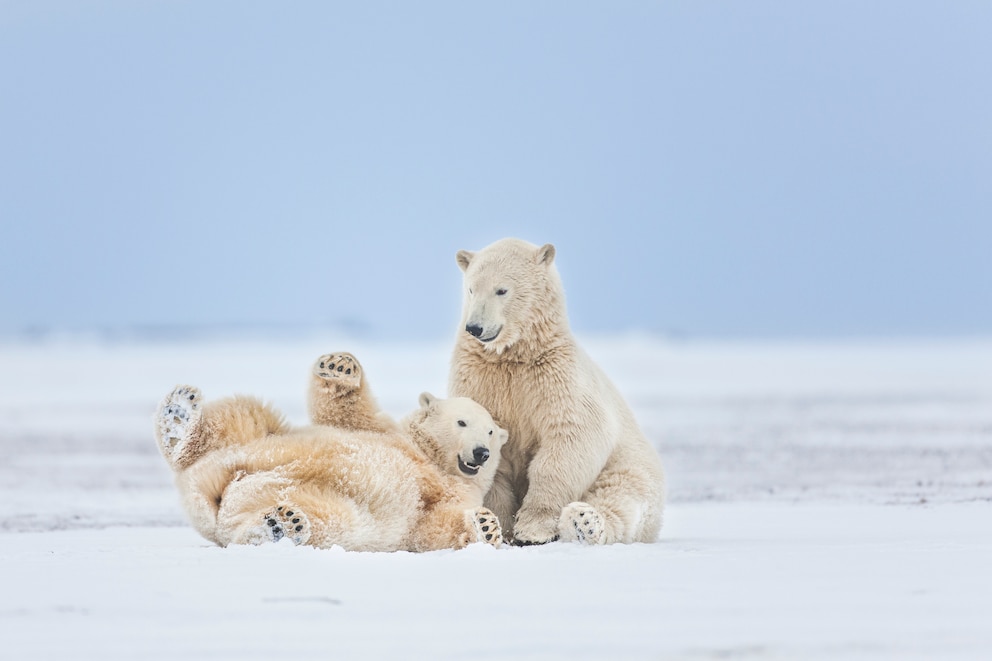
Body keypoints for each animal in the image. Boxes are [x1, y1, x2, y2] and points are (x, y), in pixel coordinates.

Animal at [157, 350, 512, 552]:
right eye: (462, 422)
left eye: (490, 431)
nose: (481, 453)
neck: (432, 460)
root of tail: (211, 493)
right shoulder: (386, 432)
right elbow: (347, 412)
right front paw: (339, 365)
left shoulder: (449, 495)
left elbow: (433, 527)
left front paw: (487, 527)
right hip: (250, 445)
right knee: (243, 415)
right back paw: (179, 417)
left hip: (323, 505)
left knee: (318, 522)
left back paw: (282, 524)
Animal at [450, 240, 668, 544]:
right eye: (471, 289)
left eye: (501, 289)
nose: (475, 327)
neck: (513, 356)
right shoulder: (480, 378)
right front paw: (495, 526)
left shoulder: (556, 376)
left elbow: (574, 433)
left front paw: (533, 529)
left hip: (630, 462)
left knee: (623, 495)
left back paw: (585, 522)